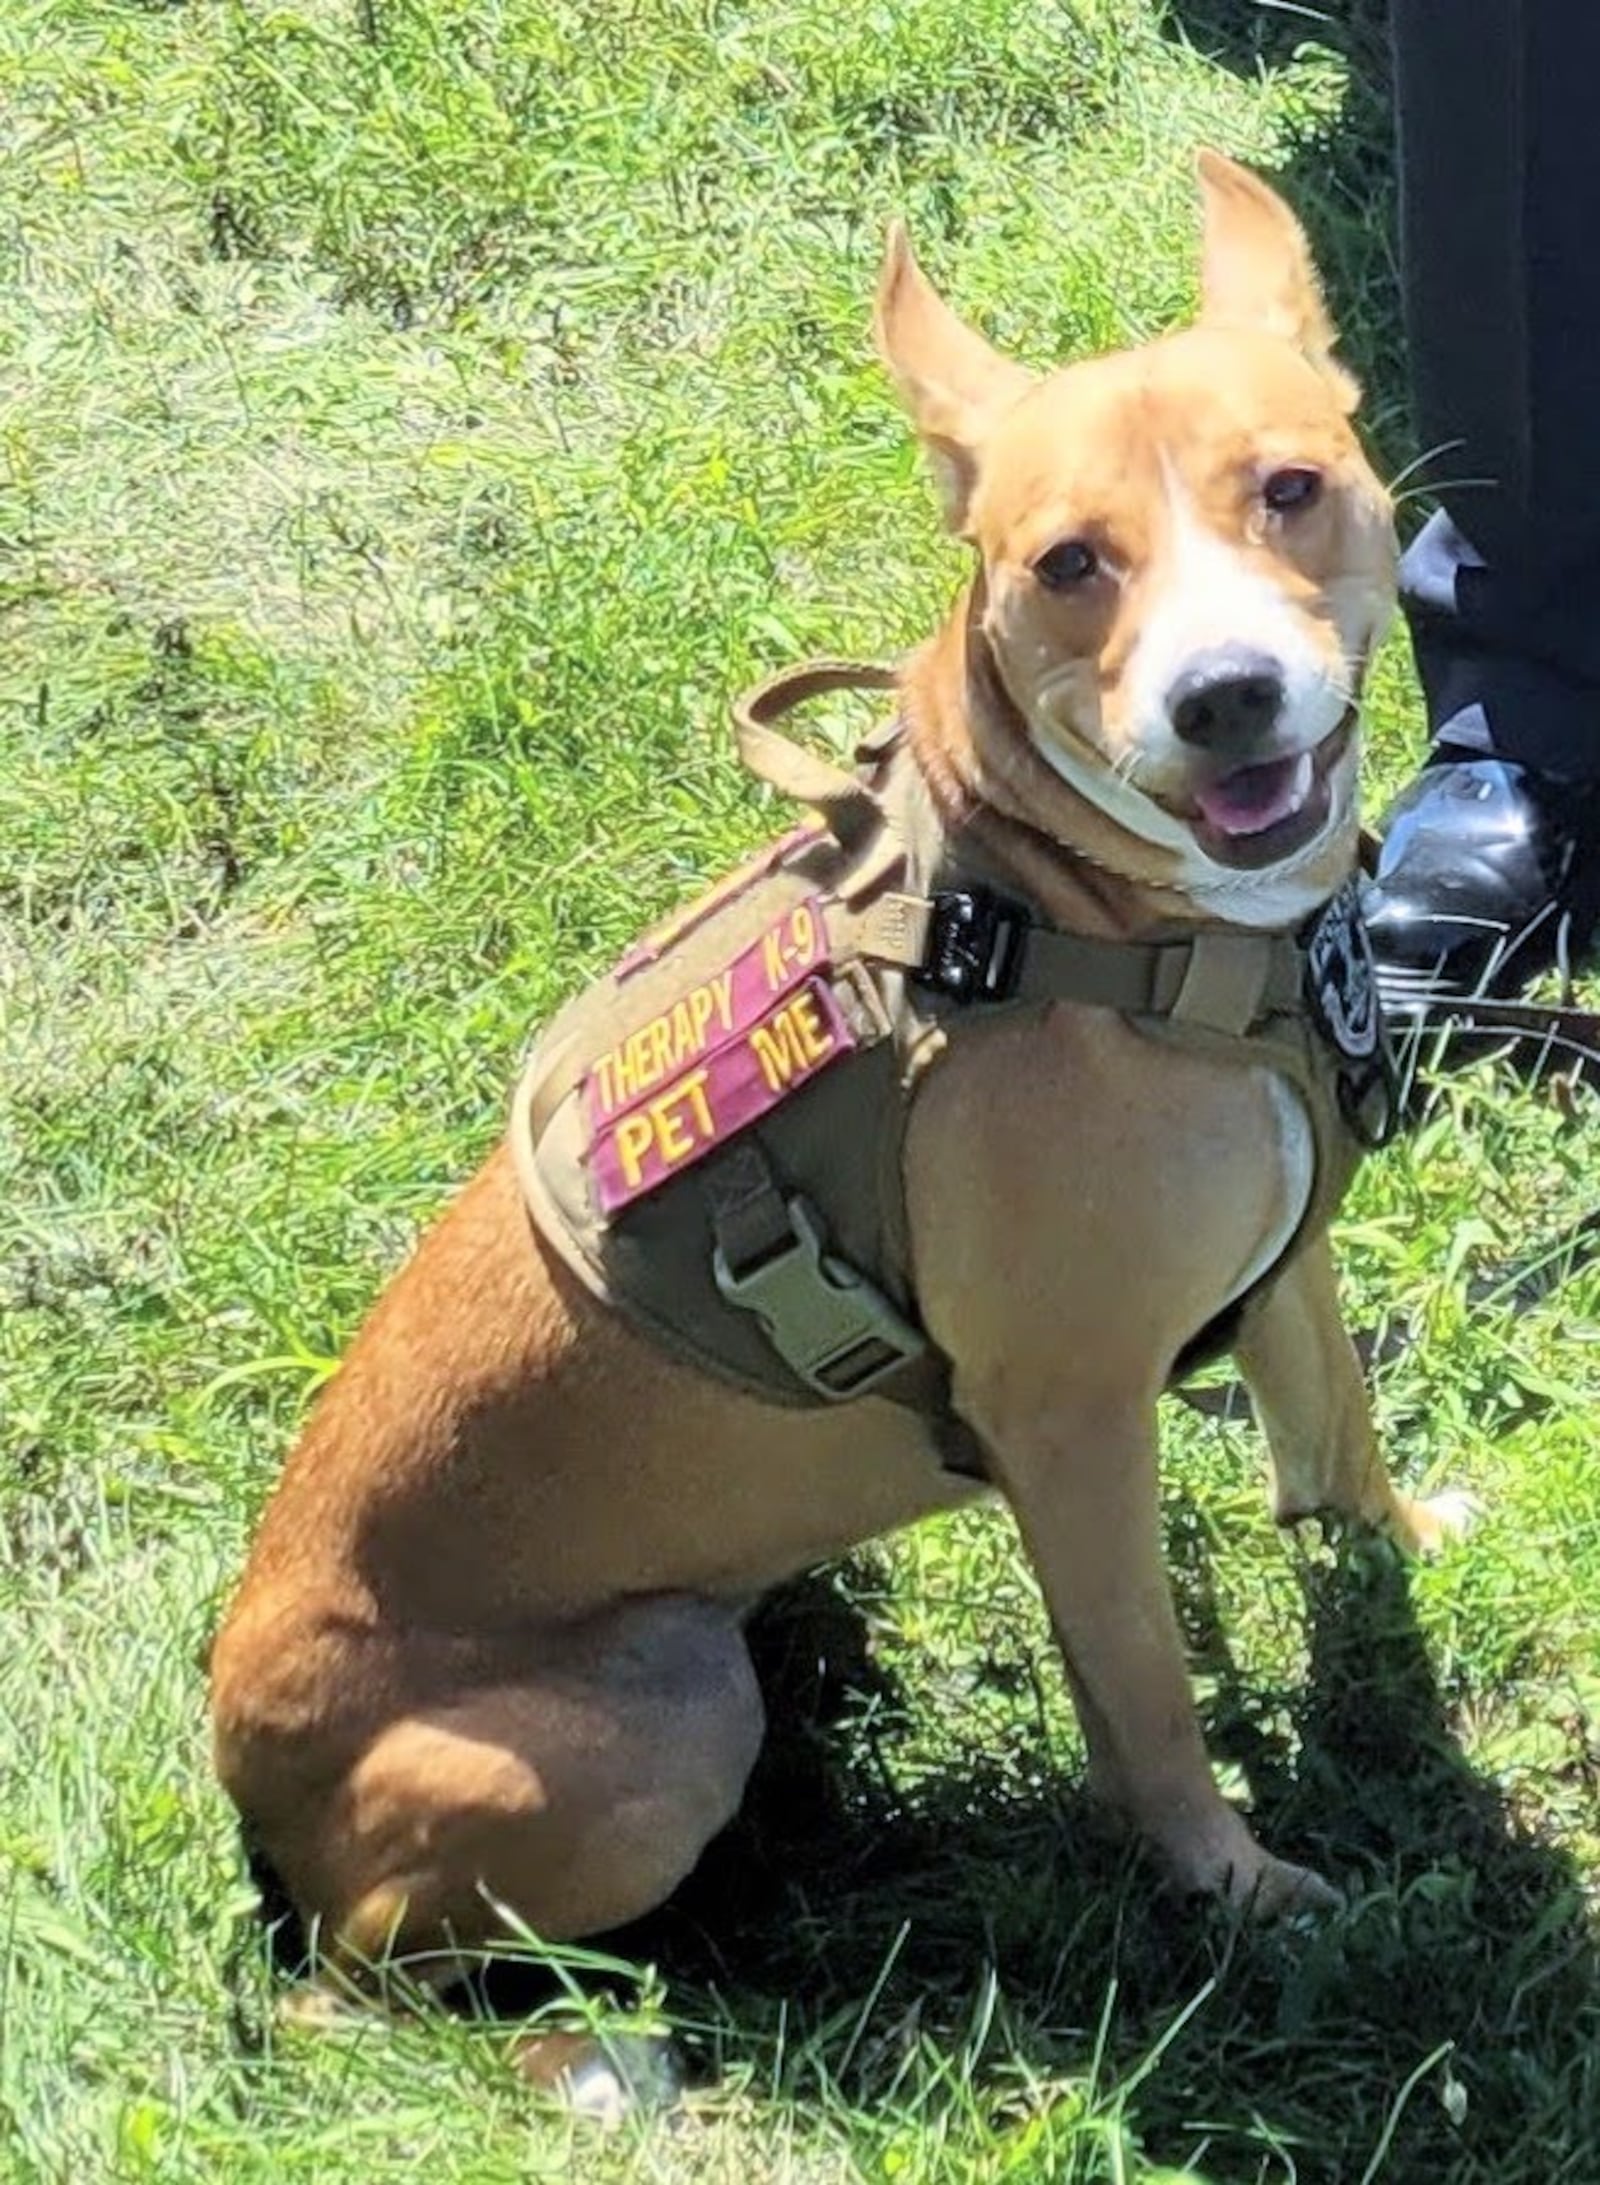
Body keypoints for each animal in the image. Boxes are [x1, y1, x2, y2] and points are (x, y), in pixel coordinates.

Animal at [212, 149, 1477, 1966]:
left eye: (1291, 487)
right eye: (1068, 562)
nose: (1225, 695)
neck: (1086, 921)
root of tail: (245, 1768)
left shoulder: (1286, 1260)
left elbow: (1337, 1431)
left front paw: (1407, 1540)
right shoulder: (1072, 1421)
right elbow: (1150, 1696)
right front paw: (1231, 1887)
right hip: (656, 1731)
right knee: (385, 1966)